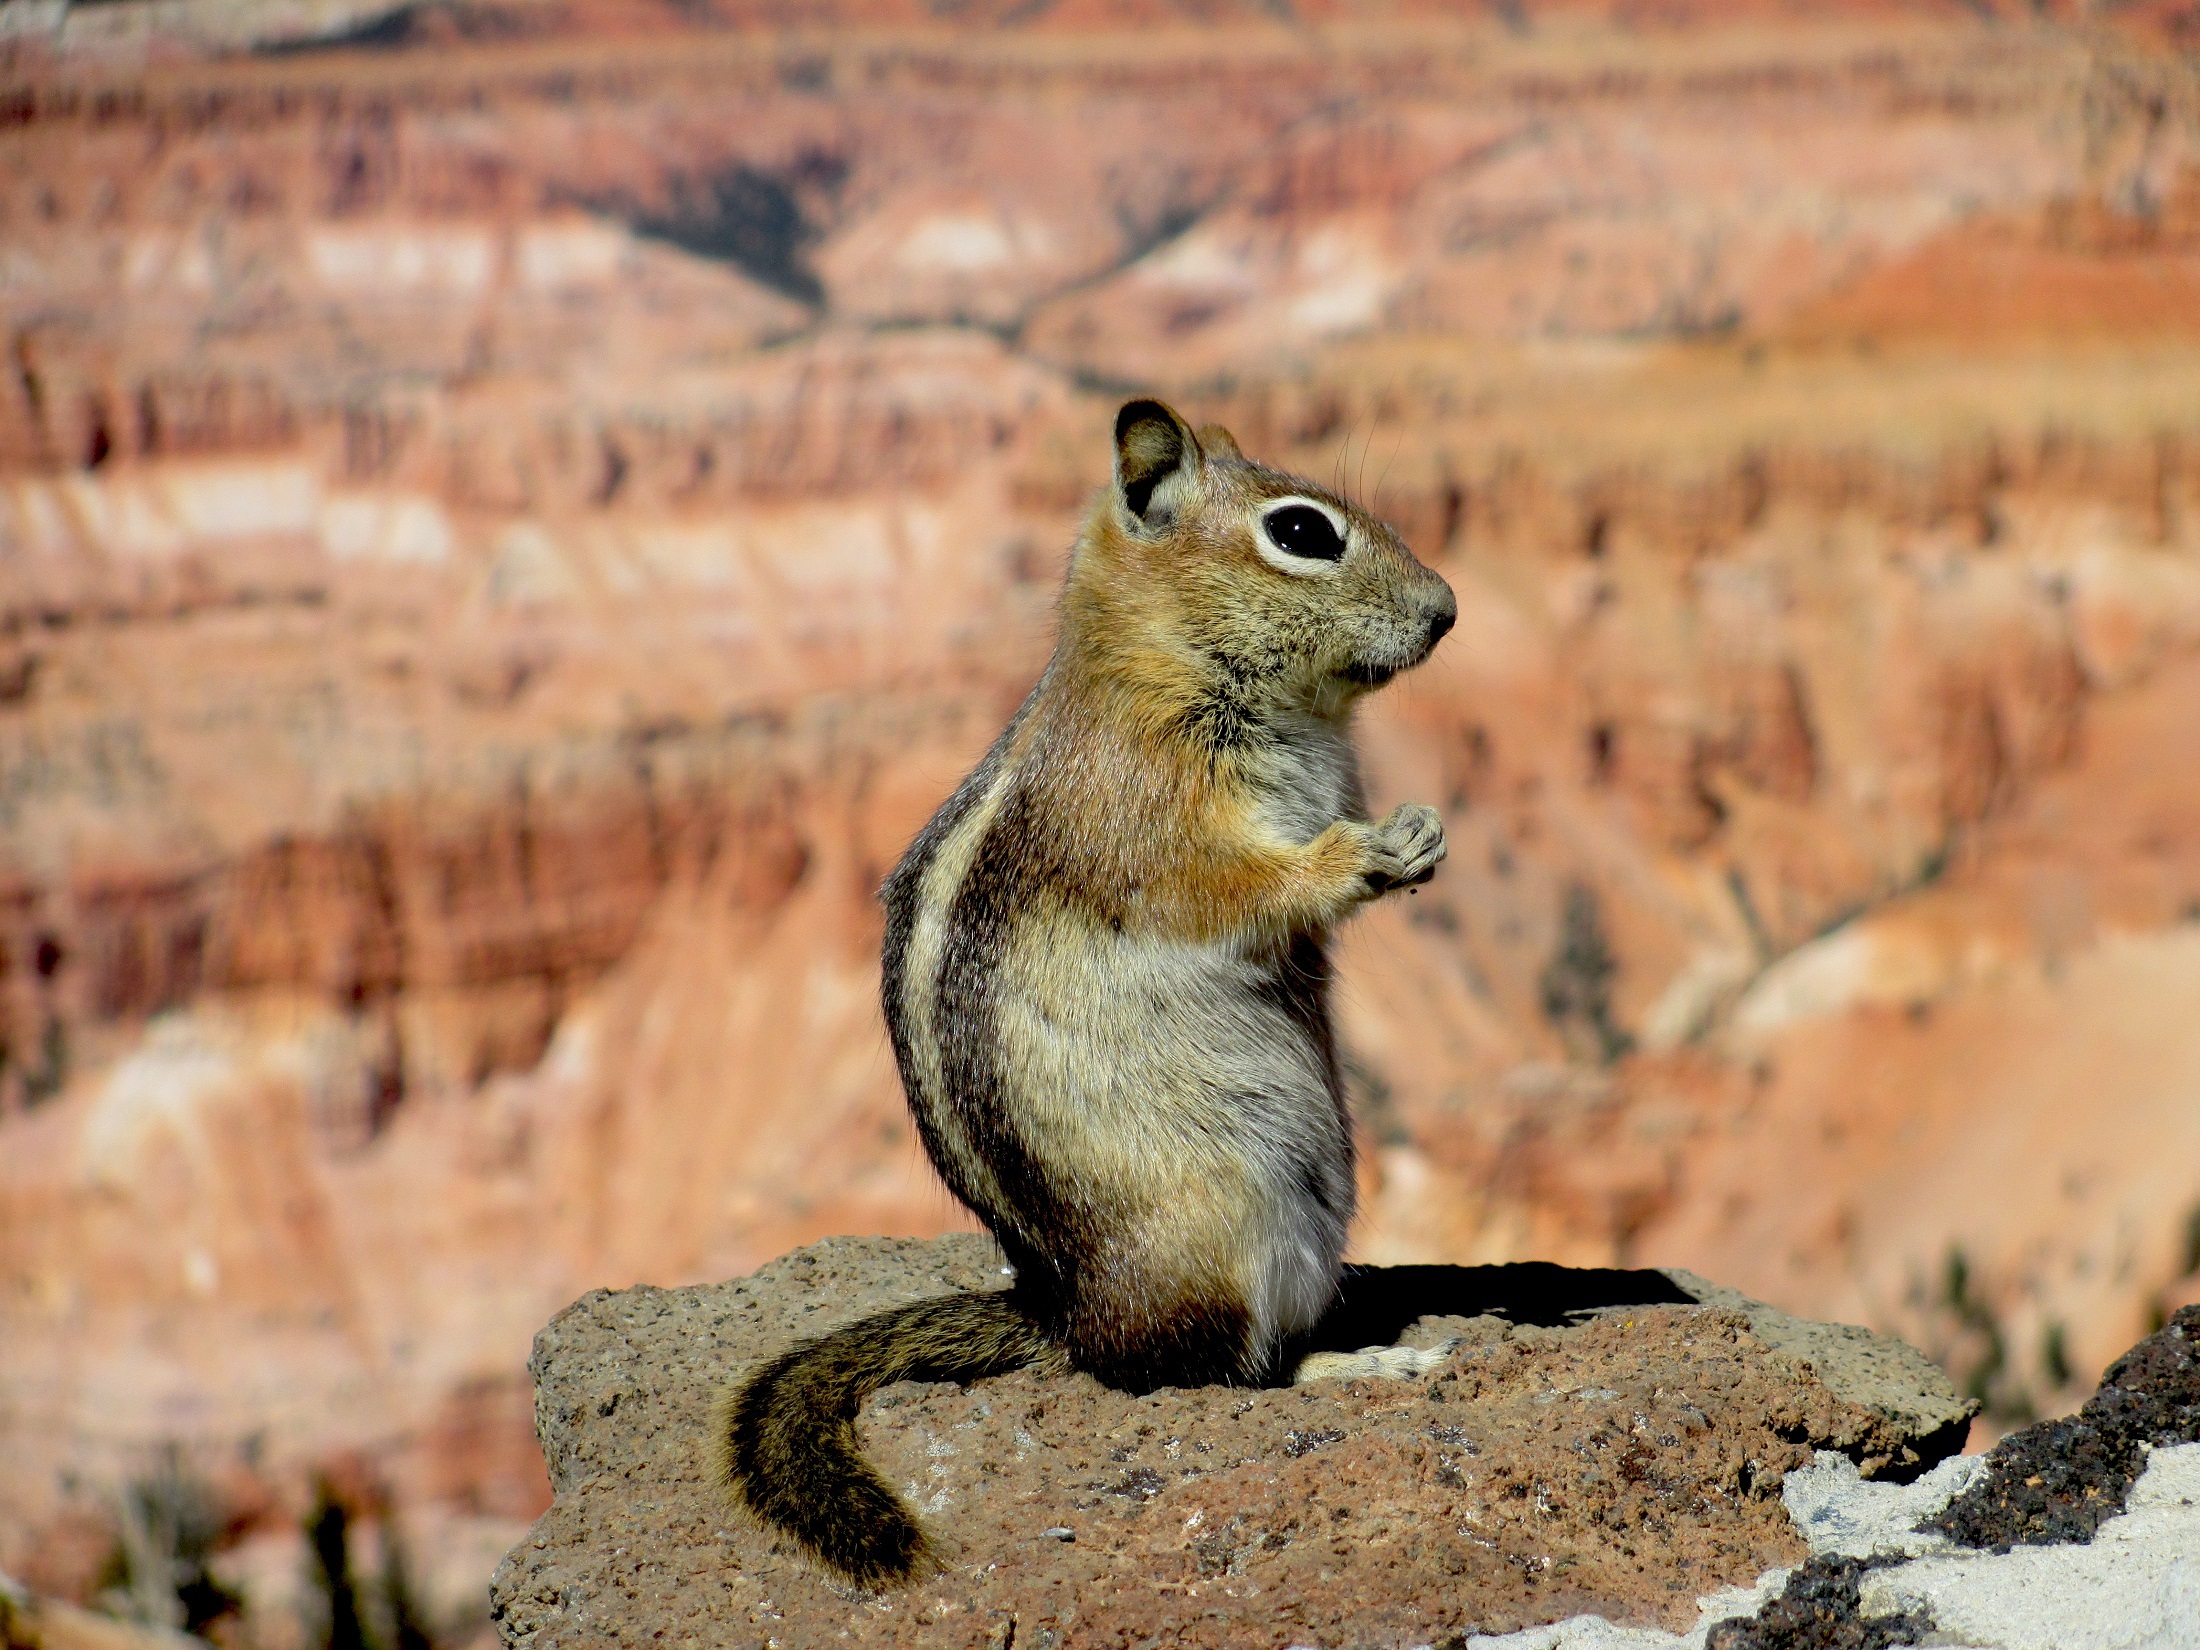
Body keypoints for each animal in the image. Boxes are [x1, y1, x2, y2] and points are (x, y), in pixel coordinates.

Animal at [712, 398, 1452, 1592]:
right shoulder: (1153, 815)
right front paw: (1363, 855)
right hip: (1225, 1233)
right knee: (1202, 1375)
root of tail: (1064, 1312)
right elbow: (1240, 890)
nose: (1446, 611)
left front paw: (1420, 835)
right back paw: (1363, 1367)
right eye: (1302, 532)